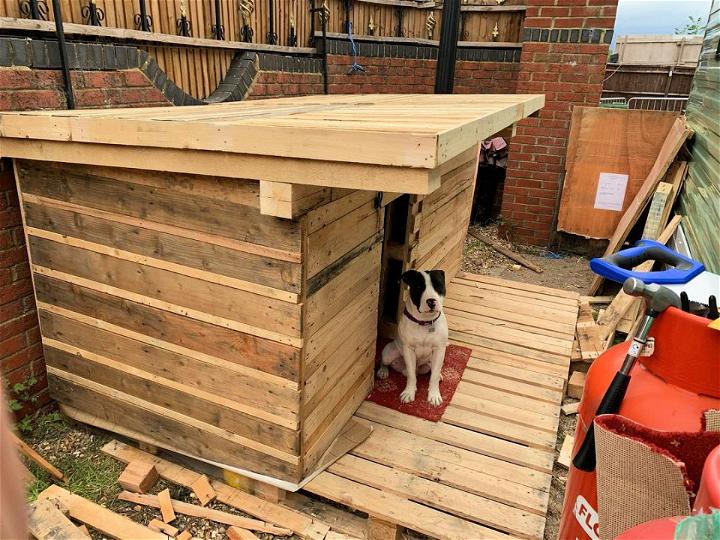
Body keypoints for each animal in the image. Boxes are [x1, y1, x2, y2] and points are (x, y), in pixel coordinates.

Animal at [374, 270, 448, 404]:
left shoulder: (439, 349)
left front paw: (434, 395)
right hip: (389, 352)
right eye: (419, 287)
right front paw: (409, 392)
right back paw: (382, 371)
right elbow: (411, 375)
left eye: (438, 285)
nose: (431, 301)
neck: (425, 322)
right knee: (385, 362)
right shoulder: (409, 350)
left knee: (433, 369)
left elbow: (434, 376)